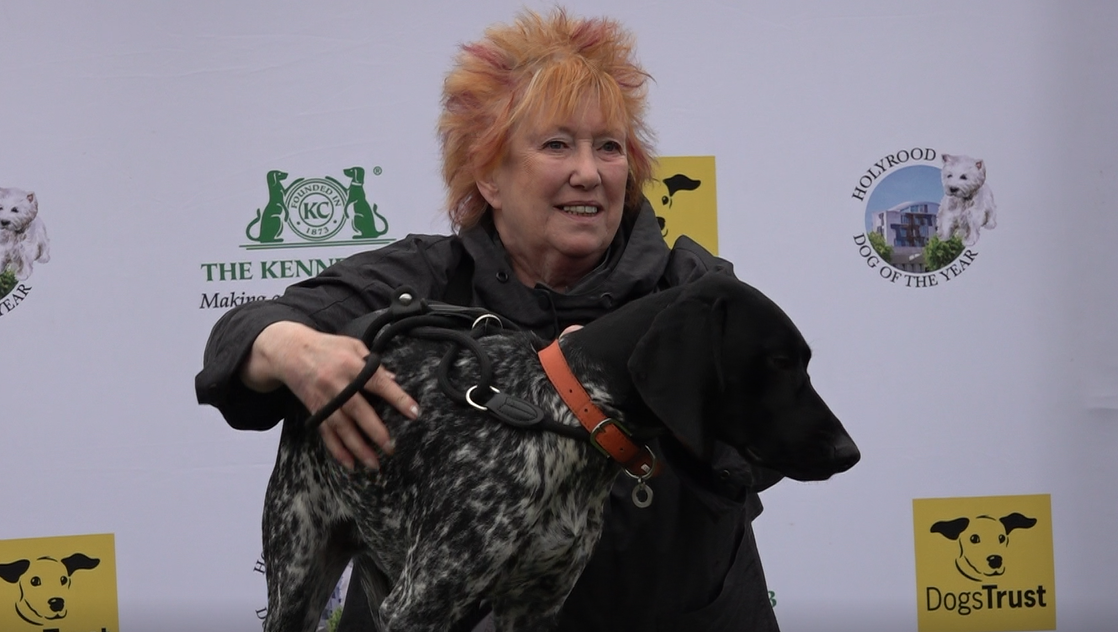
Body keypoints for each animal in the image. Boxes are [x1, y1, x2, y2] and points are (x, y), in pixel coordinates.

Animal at [261, 275, 863, 630]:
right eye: (780, 362)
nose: (850, 452)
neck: (569, 413)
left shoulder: (535, 606)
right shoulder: (420, 606)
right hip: (298, 580)